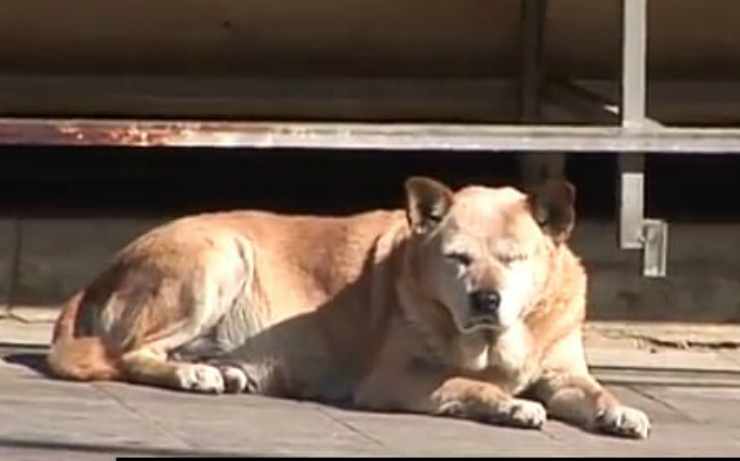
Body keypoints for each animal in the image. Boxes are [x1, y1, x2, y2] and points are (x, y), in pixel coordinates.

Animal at [47, 176, 648, 438]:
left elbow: (594, 390)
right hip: (219, 258)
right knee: (127, 353)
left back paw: (221, 369)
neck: (494, 342)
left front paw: (618, 410)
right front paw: (509, 404)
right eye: (457, 258)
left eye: (514, 259)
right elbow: (466, 384)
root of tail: (107, 268)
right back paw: (191, 373)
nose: (486, 298)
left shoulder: (563, 373)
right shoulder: (396, 378)